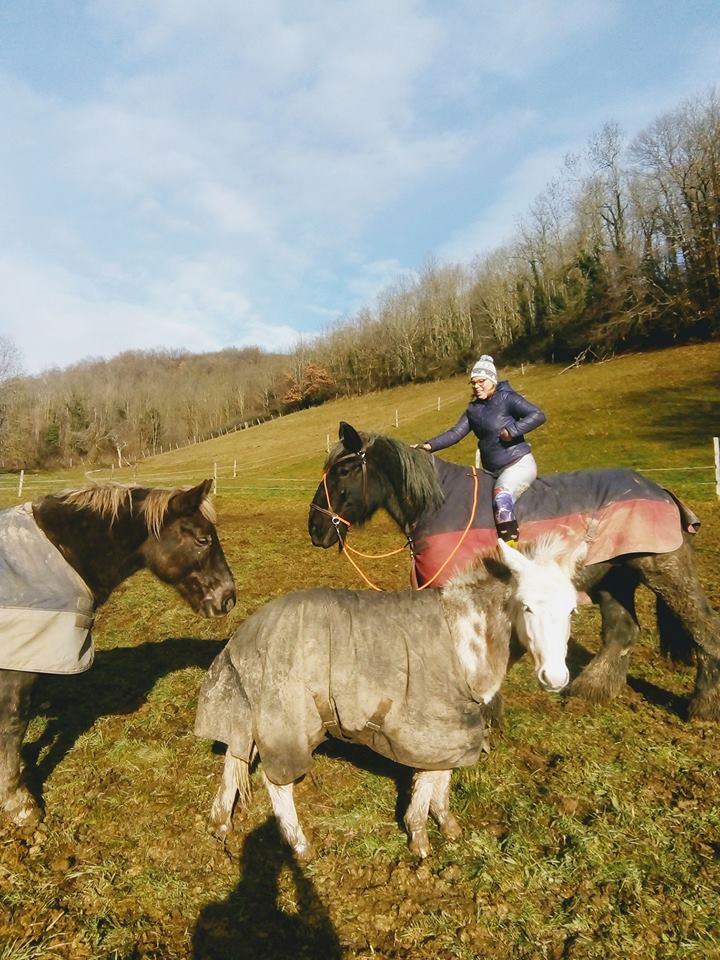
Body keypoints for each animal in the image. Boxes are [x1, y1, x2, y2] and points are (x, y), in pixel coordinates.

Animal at [0, 480, 236, 824]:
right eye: (203, 539)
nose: (229, 598)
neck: (60, 552)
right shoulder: (18, 669)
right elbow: (13, 727)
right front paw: (19, 803)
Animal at [306, 426, 716, 720]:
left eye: (344, 469)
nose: (315, 527)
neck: (438, 507)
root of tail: (660, 490)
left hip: (664, 569)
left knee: (704, 625)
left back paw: (704, 706)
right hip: (612, 579)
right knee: (622, 630)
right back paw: (591, 690)